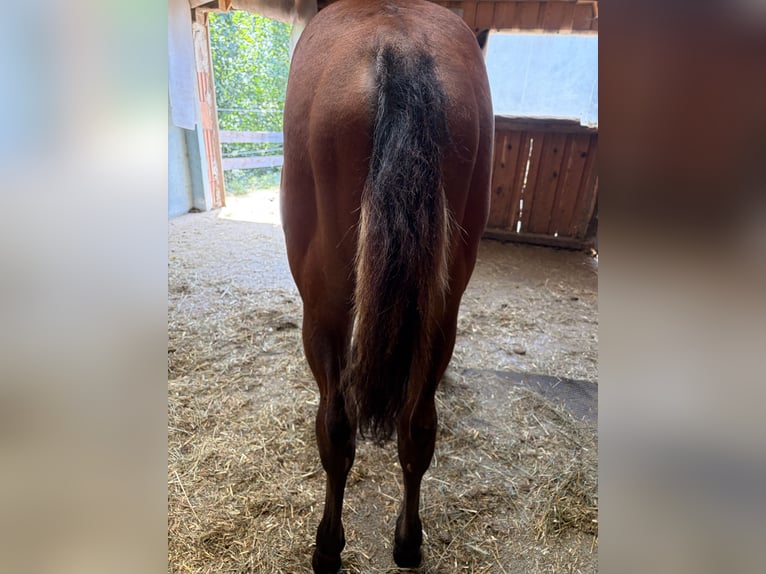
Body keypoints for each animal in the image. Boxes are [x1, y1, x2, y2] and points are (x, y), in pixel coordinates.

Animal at [280, 1, 493, 571]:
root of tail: (400, 48)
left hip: (325, 307)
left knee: (336, 428)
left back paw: (328, 547)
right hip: (441, 312)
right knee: (417, 429)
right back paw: (408, 542)